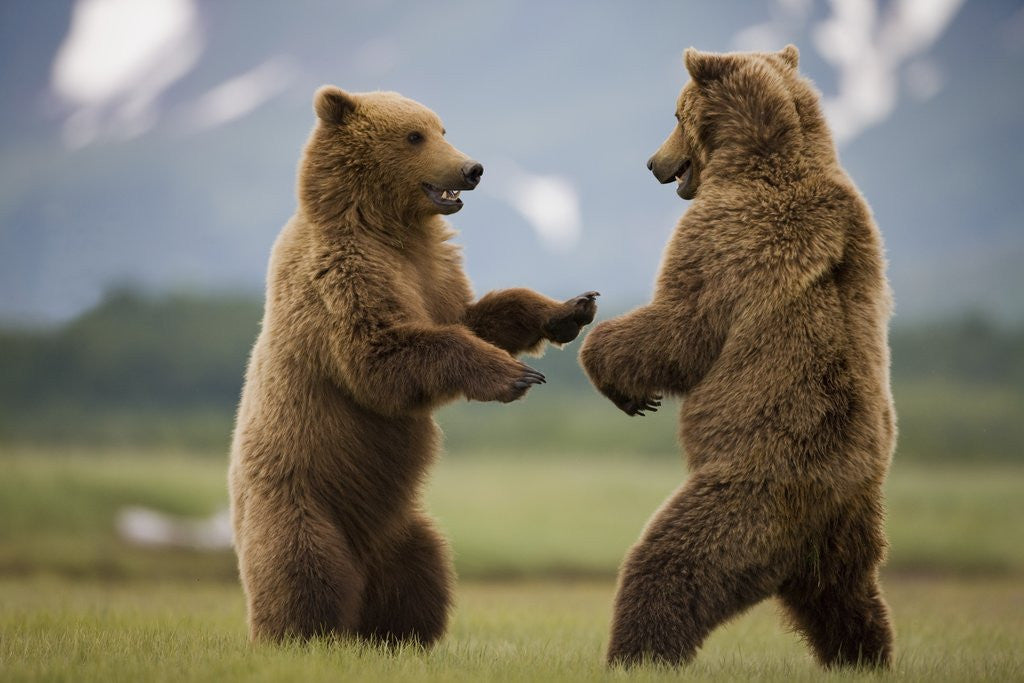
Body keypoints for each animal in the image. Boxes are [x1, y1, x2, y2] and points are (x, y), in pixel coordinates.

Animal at [228, 86, 598, 645]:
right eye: (414, 135)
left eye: (442, 128)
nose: (472, 168)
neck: (387, 227)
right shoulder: (343, 276)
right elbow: (383, 353)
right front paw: (516, 376)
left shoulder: (434, 272)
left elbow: (475, 316)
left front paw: (570, 308)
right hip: (299, 498)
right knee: (303, 570)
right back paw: (304, 634)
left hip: (400, 523)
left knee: (423, 569)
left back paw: (399, 634)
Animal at [579, 45, 896, 669]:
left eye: (675, 114)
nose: (652, 163)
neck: (757, 157)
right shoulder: (860, 225)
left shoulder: (728, 235)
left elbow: (682, 327)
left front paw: (618, 378)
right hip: (850, 524)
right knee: (846, 594)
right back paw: (866, 656)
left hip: (754, 488)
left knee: (674, 562)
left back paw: (637, 653)